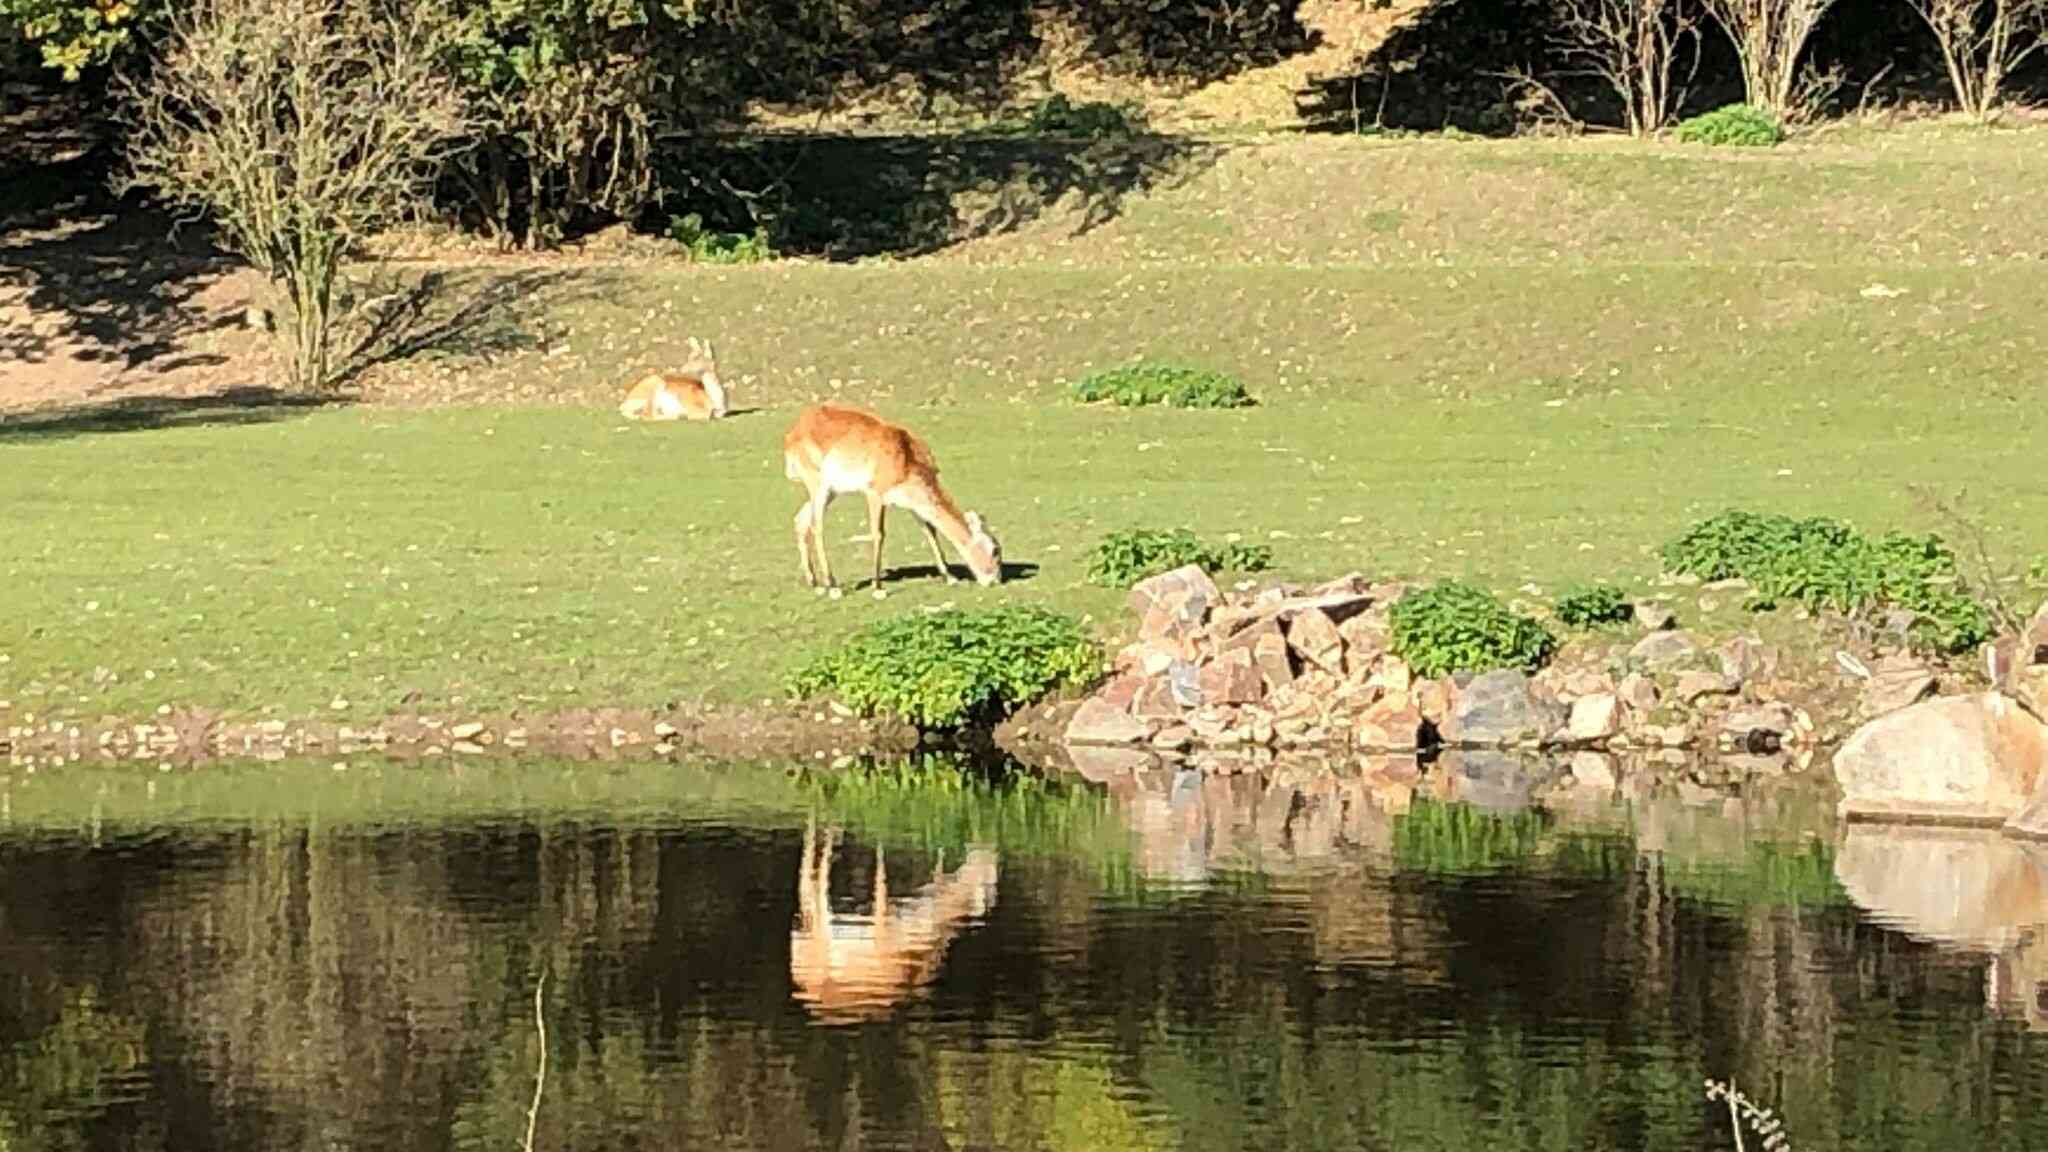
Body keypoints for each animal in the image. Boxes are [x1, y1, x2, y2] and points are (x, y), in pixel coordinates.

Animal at [782, 401, 999, 582]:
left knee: (800, 520)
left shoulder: (912, 503)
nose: (995, 580)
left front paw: (949, 577)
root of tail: (794, 431)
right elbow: (878, 534)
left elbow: (930, 530)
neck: (906, 458)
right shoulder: (875, 495)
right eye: (995, 549)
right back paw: (832, 585)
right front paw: (877, 585)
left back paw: (814, 582)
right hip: (818, 486)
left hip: (830, 492)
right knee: (816, 526)